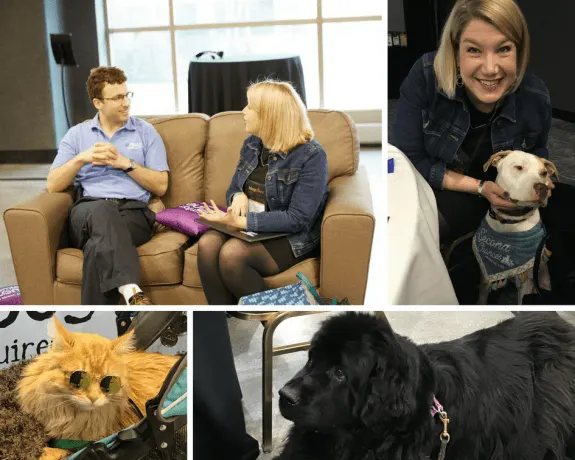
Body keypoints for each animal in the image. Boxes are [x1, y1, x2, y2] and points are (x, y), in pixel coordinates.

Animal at [474, 149, 560, 304]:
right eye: (519, 167)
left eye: (544, 173)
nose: (543, 187)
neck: (510, 220)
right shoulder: (485, 276)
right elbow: (481, 300)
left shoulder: (525, 283)